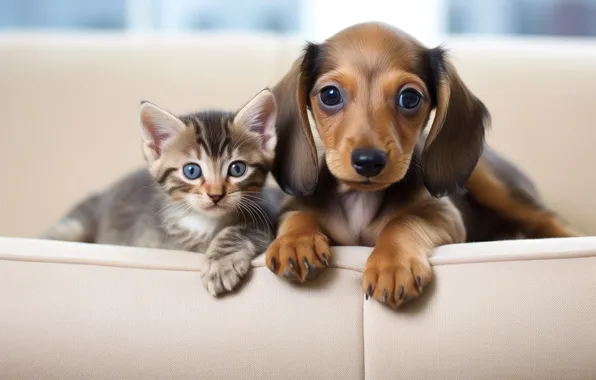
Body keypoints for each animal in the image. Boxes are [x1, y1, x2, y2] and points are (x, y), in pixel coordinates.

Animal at [42, 89, 284, 296]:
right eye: (191, 171)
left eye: (237, 169)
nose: (216, 195)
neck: (206, 223)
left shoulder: (266, 214)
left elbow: (239, 230)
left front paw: (219, 264)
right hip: (73, 227)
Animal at [266, 21, 584, 308]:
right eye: (330, 95)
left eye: (409, 98)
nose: (368, 161)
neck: (361, 200)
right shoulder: (295, 205)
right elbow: (298, 214)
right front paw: (295, 241)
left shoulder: (447, 217)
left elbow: (404, 220)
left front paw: (392, 265)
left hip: (488, 180)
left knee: (548, 219)